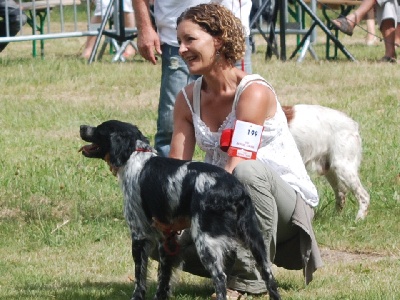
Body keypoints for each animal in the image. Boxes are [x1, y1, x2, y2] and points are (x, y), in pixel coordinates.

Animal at [79, 120, 282, 300]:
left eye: (99, 129)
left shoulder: (139, 234)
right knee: (269, 277)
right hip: (255, 239)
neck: (135, 156)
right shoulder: (166, 237)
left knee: (220, 278)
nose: (81, 127)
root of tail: (235, 189)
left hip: (206, 241)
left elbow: (140, 276)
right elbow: (164, 277)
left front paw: (136, 297)